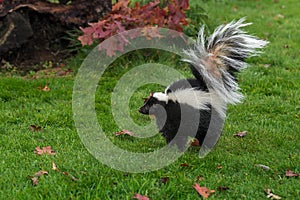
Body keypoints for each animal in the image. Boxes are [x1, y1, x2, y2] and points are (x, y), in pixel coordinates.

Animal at [138, 18, 268, 150]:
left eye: (149, 105)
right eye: (146, 102)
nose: (140, 109)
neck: (168, 101)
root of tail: (207, 87)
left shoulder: (180, 114)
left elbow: (178, 131)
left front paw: (177, 148)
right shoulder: (166, 119)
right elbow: (168, 130)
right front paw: (171, 146)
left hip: (208, 113)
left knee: (209, 131)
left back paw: (206, 146)